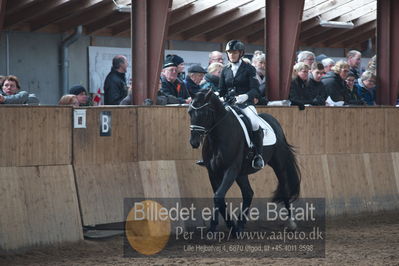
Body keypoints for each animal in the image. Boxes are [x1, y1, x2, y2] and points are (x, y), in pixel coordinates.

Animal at [189, 90, 302, 234]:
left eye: (205, 113)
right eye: (190, 112)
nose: (194, 142)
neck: (219, 136)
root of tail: (274, 122)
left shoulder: (231, 169)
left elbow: (218, 196)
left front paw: (214, 226)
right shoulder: (213, 172)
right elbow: (219, 197)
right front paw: (230, 225)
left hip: (279, 164)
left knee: (284, 188)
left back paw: (291, 222)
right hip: (241, 173)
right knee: (248, 193)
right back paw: (240, 226)